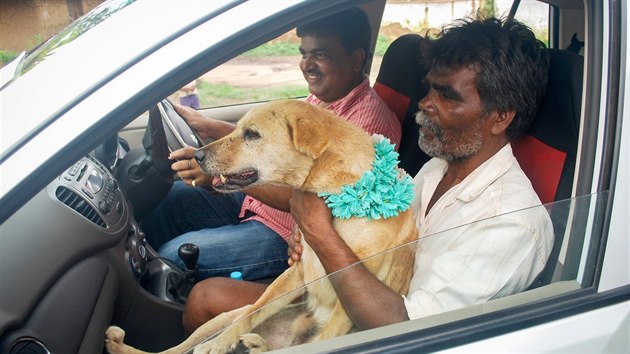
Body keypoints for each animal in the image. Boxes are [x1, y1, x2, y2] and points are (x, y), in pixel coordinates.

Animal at [103, 99, 420, 354]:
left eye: (252, 134)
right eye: (238, 129)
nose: (197, 155)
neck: (339, 195)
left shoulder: (350, 302)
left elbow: (327, 337)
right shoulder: (296, 272)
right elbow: (254, 312)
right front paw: (222, 343)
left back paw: (257, 345)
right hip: (219, 318)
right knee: (176, 349)